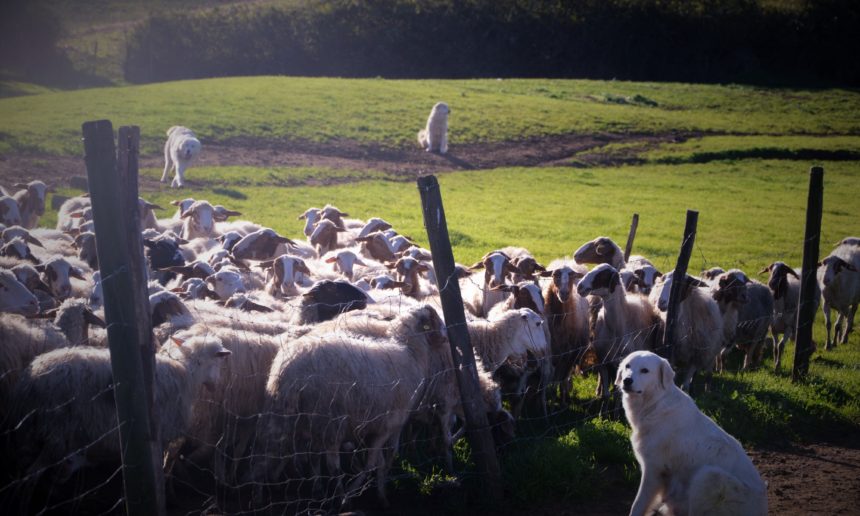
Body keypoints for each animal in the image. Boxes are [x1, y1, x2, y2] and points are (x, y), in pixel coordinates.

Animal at [11, 335, 230, 484]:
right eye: (218, 360)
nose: (217, 385)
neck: (187, 373)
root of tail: (30, 376)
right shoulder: (165, 431)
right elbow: (166, 462)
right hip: (57, 428)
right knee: (33, 473)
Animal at [253, 305, 447, 508]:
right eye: (435, 320)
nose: (445, 338)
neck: (410, 351)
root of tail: (290, 370)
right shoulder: (388, 425)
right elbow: (375, 462)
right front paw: (374, 494)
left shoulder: (380, 426)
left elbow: (380, 461)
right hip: (329, 420)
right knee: (332, 465)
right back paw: (341, 498)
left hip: (281, 415)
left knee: (265, 454)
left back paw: (265, 495)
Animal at [576, 263, 662, 399]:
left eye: (603, 275)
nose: (579, 286)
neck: (615, 329)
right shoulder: (602, 360)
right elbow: (606, 390)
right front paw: (604, 398)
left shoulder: (622, 362)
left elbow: (618, 393)